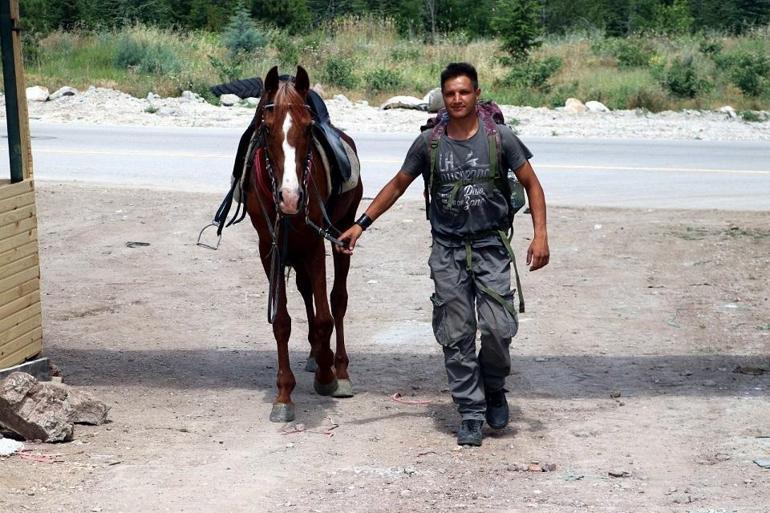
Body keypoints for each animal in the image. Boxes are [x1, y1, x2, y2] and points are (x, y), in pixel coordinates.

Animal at [236, 66, 362, 422]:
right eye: (266, 127)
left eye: (308, 128)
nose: (290, 198)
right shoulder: (271, 249)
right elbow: (281, 321)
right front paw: (283, 395)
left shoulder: (316, 243)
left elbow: (325, 316)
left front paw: (327, 376)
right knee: (306, 291)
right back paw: (315, 354)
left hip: (342, 231)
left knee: (337, 300)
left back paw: (338, 368)